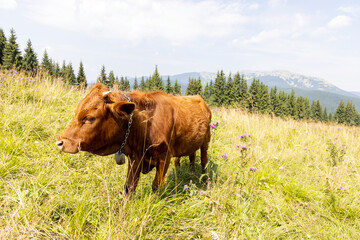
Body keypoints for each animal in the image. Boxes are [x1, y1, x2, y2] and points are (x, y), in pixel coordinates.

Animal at [56, 83, 211, 194]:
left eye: (89, 118)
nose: (60, 142)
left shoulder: (164, 157)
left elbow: (156, 186)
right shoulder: (134, 158)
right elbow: (129, 187)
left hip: (206, 141)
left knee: (204, 160)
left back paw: (204, 179)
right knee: (190, 157)